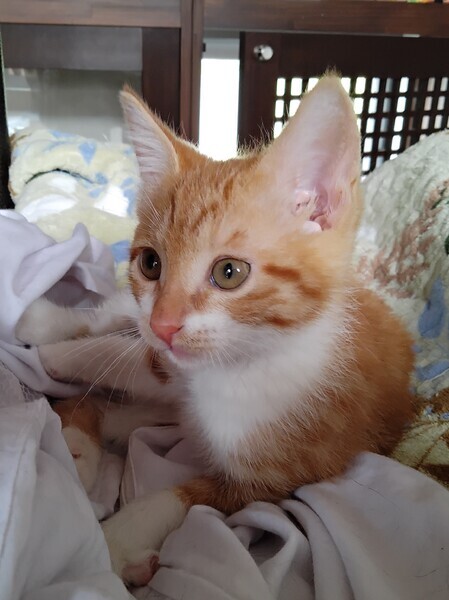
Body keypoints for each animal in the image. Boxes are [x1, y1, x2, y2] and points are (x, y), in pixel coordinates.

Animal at [17, 75, 415, 587]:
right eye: (151, 264)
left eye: (229, 273)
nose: (164, 323)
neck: (232, 369)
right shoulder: (168, 369)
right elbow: (114, 357)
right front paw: (61, 372)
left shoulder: (282, 479)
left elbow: (187, 492)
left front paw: (116, 540)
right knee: (114, 316)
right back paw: (45, 325)